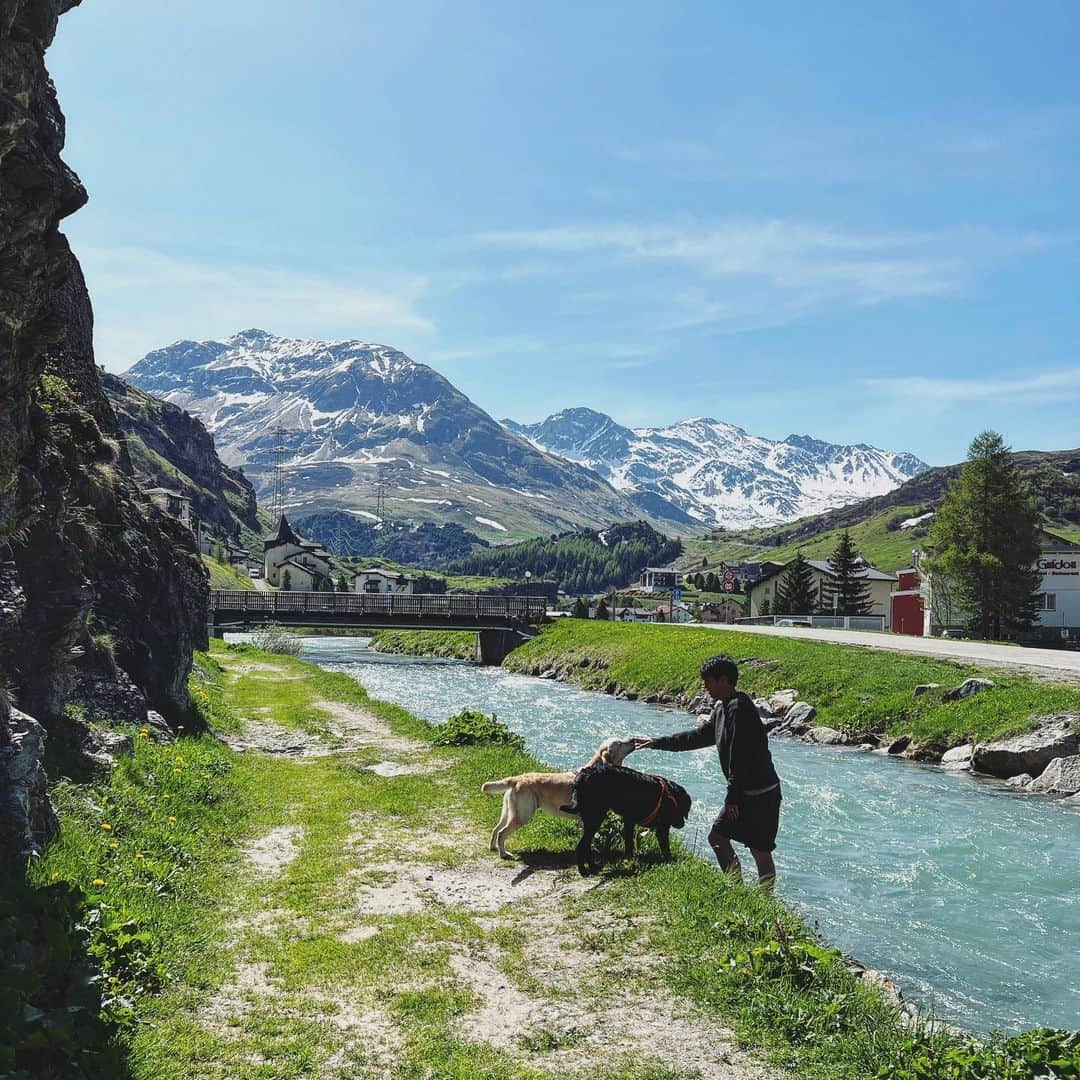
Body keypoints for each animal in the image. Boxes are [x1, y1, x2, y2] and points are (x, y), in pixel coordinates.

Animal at [486, 734, 635, 859]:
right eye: (620, 743)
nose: (633, 740)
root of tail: (516, 779)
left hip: (509, 812)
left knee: (495, 829)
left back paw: (493, 848)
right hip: (523, 815)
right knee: (501, 833)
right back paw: (504, 854)